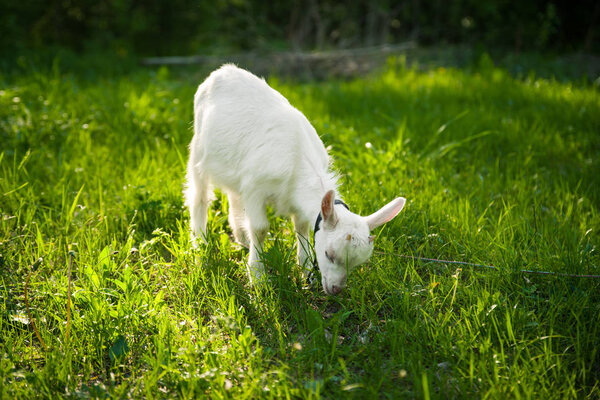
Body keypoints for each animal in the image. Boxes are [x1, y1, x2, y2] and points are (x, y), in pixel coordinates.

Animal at [185, 65, 406, 294]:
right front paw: (258, 278)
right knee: (199, 196)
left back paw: (242, 238)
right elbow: (260, 228)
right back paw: (200, 244)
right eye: (329, 254)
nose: (335, 289)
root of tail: (222, 70)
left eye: (356, 264)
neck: (298, 163)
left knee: (234, 195)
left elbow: (301, 226)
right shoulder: (255, 188)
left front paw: (305, 269)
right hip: (198, 150)